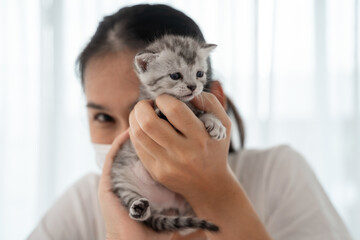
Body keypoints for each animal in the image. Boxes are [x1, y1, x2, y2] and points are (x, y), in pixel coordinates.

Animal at [111, 34, 226, 232]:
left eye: (199, 73)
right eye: (175, 75)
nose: (193, 87)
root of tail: (161, 203)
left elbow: (198, 112)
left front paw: (214, 122)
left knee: (186, 227)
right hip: (122, 179)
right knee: (135, 204)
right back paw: (138, 208)